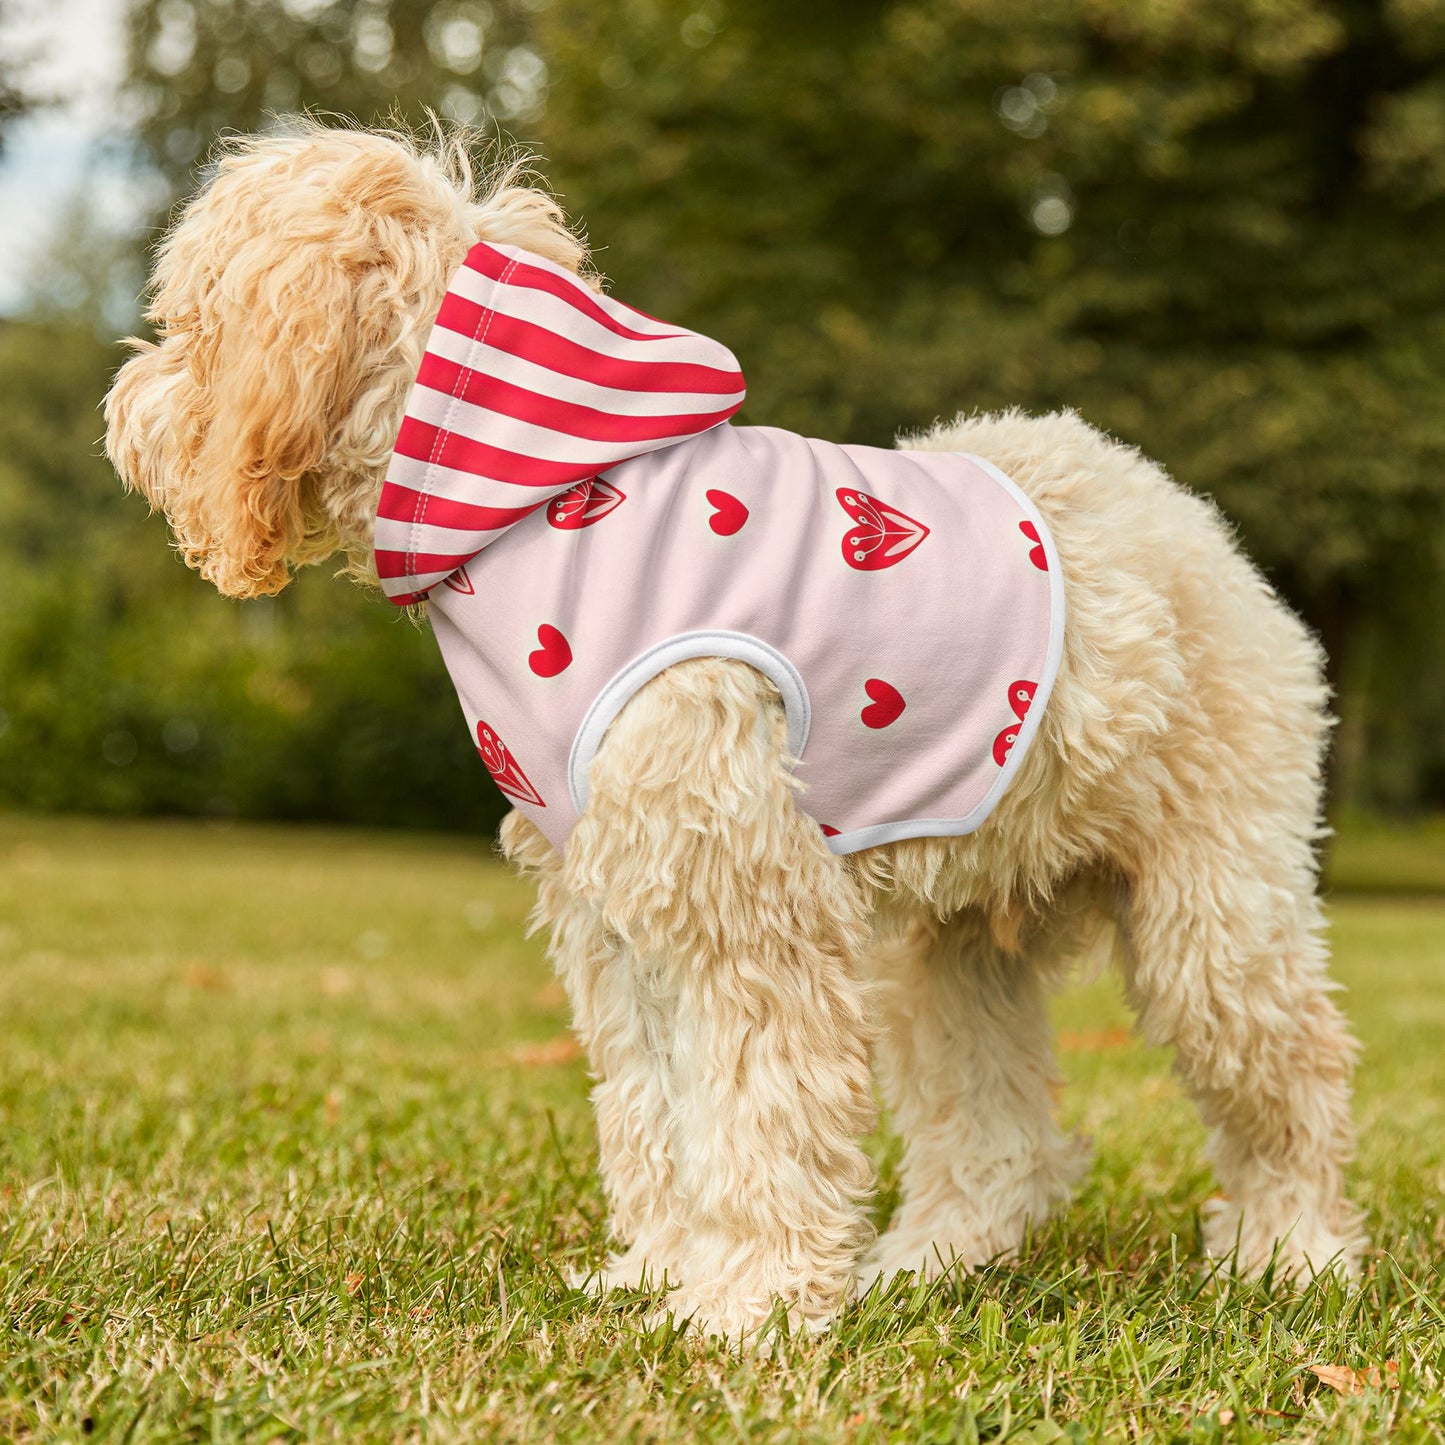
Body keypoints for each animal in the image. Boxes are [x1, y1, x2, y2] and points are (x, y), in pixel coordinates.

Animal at [104, 124, 1364, 1340]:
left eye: (190, 319)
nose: (123, 410)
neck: (533, 502)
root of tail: (1187, 519)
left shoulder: (743, 905)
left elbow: (759, 1111)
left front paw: (746, 1305)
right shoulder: (616, 912)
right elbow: (655, 1111)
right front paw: (661, 1273)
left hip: (1212, 913)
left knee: (1292, 1074)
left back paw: (1290, 1252)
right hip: (948, 950)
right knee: (996, 1133)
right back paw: (928, 1260)